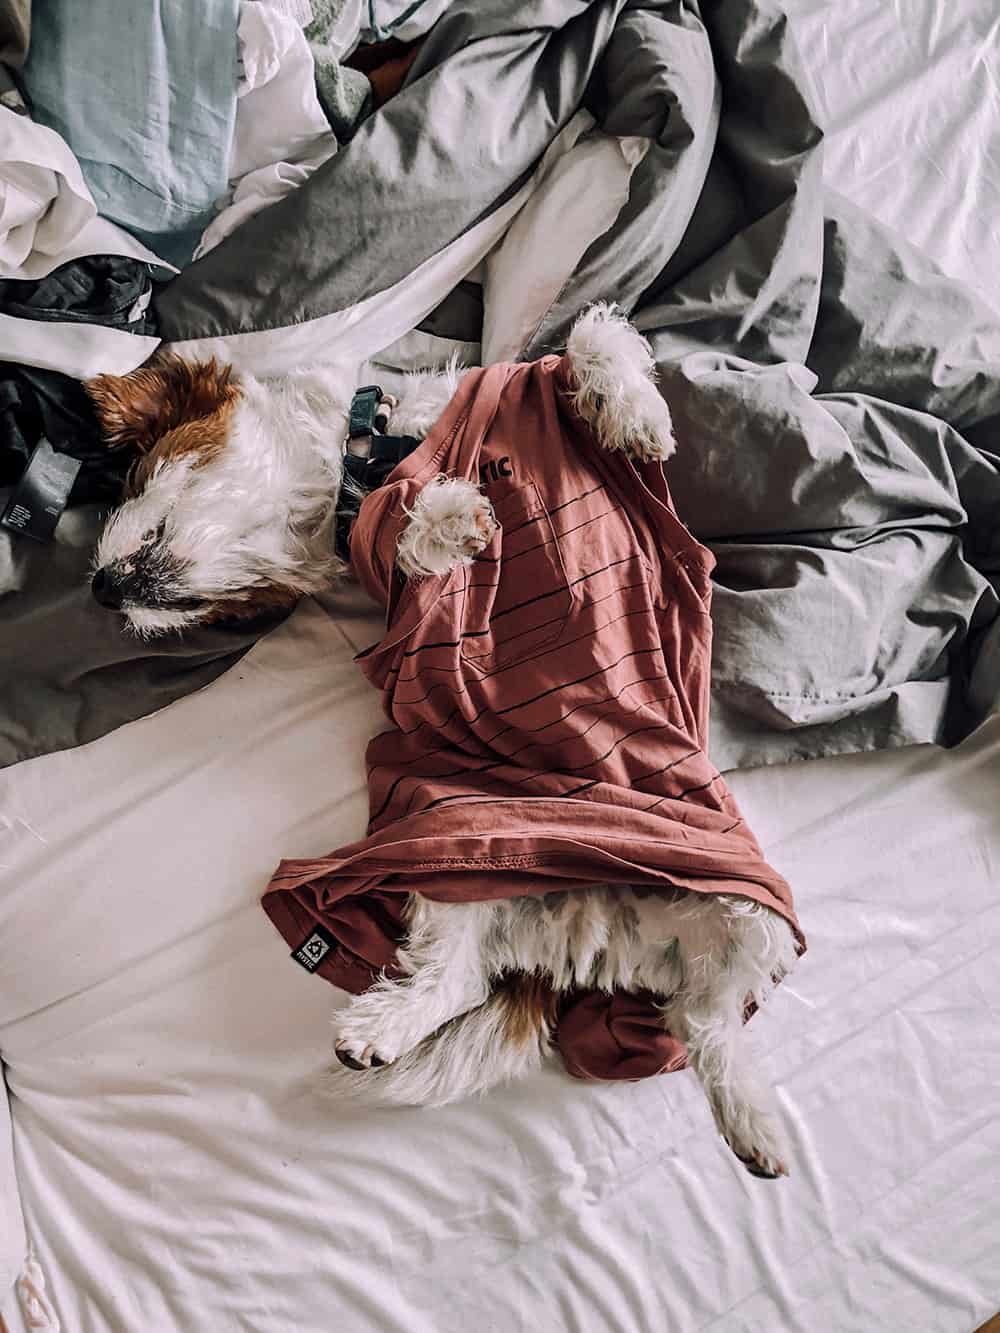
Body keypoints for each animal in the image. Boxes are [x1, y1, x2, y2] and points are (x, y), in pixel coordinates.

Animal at [88, 307, 798, 1178]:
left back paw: (753, 1126)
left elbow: (587, 341)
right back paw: (376, 1032)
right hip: (453, 849)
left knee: (706, 1018)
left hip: (751, 906)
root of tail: (579, 935)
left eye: (139, 474)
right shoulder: (395, 590)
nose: (101, 590)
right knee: (491, 984)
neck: (370, 455)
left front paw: (635, 417)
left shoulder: (532, 392)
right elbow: (412, 537)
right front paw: (452, 512)